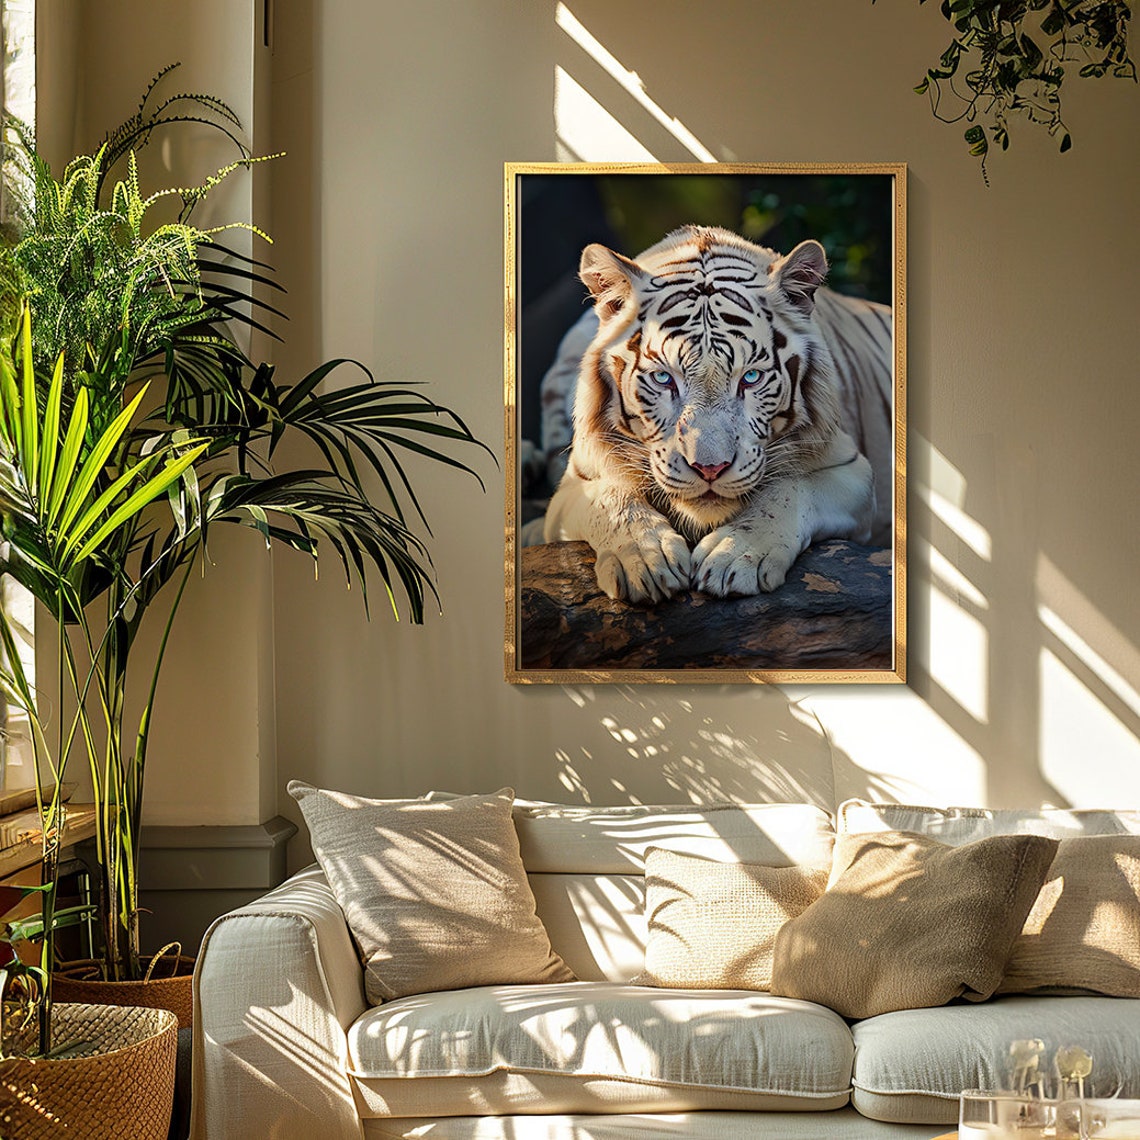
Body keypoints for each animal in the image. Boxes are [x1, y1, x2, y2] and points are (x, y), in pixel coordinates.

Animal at [538, 224, 894, 605]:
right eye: (663, 378)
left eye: (750, 378)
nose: (710, 468)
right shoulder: (573, 487)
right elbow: (614, 499)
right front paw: (646, 560)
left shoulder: (853, 472)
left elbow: (790, 489)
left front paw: (735, 555)